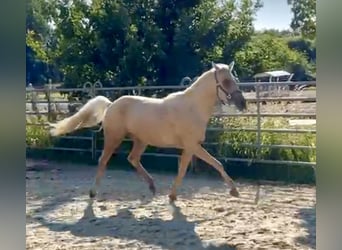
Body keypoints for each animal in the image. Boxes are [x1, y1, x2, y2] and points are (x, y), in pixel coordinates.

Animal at [49, 61, 246, 202]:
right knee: (103, 161)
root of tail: (111, 105)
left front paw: (172, 195)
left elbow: (191, 168)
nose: (242, 104)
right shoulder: (192, 146)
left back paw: (152, 186)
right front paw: (234, 190)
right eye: (226, 81)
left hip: (140, 140)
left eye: (235, 80)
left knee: (133, 158)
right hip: (114, 138)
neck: (192, 108)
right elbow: (212, 164)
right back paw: (92, 193)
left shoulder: (191, 147)